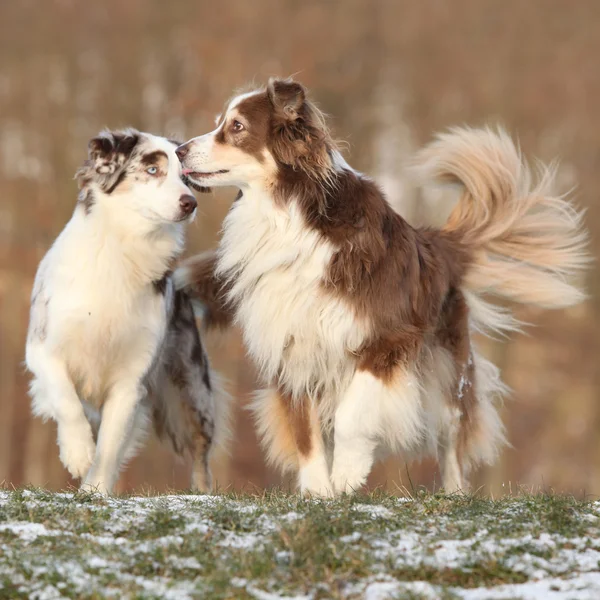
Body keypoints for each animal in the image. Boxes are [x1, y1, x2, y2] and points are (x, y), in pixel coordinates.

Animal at [25, 129, 230, 494]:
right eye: (152, 170)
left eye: (185, 178)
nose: (190, 203)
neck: (124, 251)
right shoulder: (41, 348)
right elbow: (66, 401)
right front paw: (78, 453)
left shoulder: (132, 377)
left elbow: (110, 442)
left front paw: (94, 490)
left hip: (192, 392)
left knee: (200, 452)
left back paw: (202, 494)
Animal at [175, 77, 592, 494]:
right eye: (220, 122)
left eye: (237, 126)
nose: (178, 150)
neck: (289, 215)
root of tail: (439, 244)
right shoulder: (290, 343)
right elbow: (304, 430)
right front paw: (318, 492)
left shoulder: (387, 336)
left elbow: (353, 414)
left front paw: (347, 473)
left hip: (445, 371)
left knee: (452, 436)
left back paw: (455, 492)